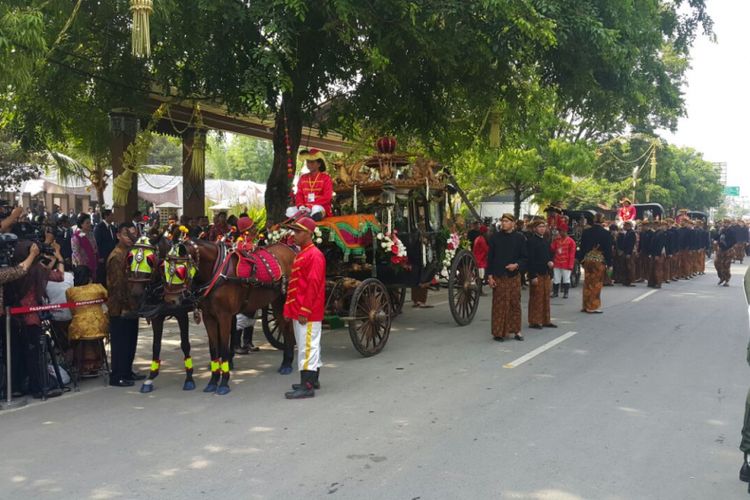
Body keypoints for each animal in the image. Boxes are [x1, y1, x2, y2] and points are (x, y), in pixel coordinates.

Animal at [166, 238, 298, 394]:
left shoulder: (225, 316)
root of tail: (289, 248)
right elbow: (213, 349)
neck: (216, 271)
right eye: (164, 268)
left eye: (180, 271)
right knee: (285, 326)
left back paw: (287, 364)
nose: (170, 300)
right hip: (277, 301)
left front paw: (224, 383)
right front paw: (213, 381)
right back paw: (286, 362)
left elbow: (224, 347)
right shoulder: (208, 317)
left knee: (288, 327)